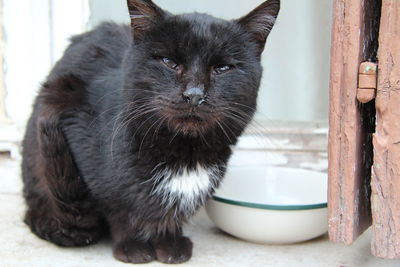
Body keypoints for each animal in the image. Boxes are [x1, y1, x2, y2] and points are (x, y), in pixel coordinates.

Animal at [21, 0, 278, 264]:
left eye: (223, 67)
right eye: (169, 62)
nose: (194, 94)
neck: (185, 154)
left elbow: (169, 216)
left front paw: (170, 243)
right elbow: (121, 211)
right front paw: (133, 246)